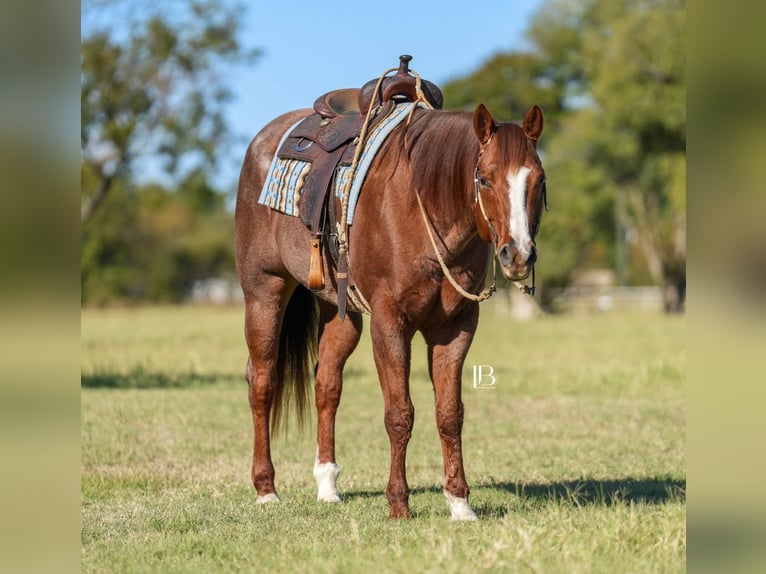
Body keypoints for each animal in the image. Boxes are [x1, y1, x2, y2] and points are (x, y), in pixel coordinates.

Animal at [235, 100, 545, 520]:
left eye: (539, 180)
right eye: (484, 179)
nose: (518, 254)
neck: (423, 206)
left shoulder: (456, 328)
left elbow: (450, 414)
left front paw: (460, 502)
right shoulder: (389, 324)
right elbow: (399, 414)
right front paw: (399, 503)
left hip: (340, 312)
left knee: (327, 385)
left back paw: (327, 484)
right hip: (264, 293)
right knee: (263, 382)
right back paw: (266, 489)